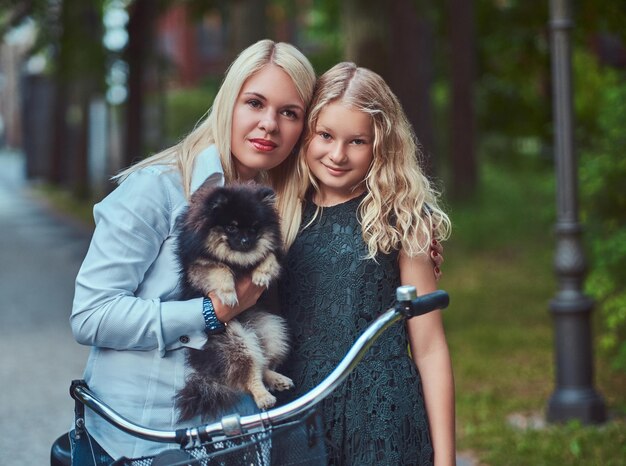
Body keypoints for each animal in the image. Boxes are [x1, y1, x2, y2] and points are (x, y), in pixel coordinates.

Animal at [173, 182, 292, 422]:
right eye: (231, 228)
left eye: (254, 229)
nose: (246, 241)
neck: (239, 260)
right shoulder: (198, 266)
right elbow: (220, 269)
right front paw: (228, 293)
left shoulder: (272, 252)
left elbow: (268, 257)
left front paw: (261, 275)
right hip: (234, 341)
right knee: (249, 375)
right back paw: (263, 397)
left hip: (272, 330)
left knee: (262, 364)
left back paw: (276, 379)